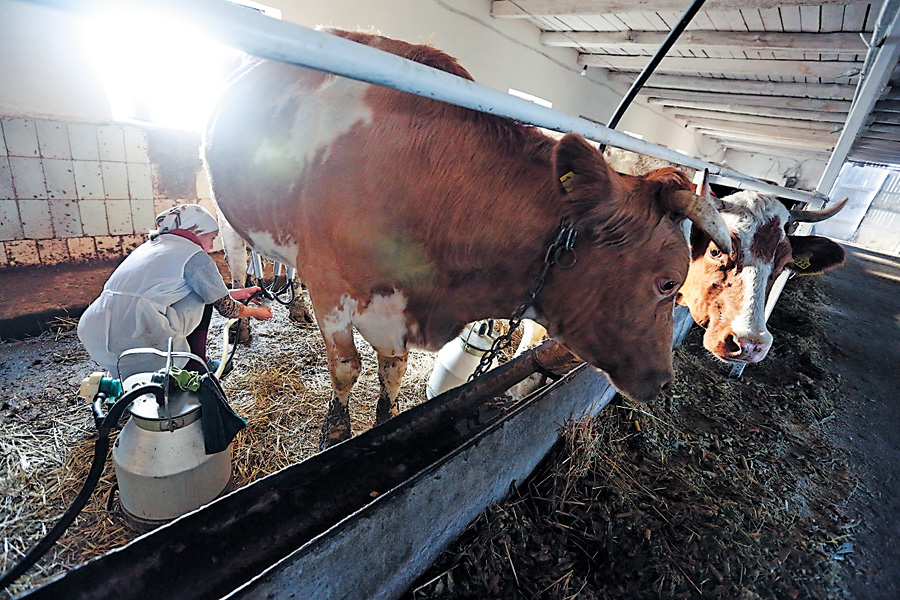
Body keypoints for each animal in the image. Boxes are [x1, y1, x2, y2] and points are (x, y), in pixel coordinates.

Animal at [204, 30, 732, 448]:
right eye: (668, 282)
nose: (664, 382)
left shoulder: (392, 311)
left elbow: (392, 370)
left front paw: (383, 420)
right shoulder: (333, 287)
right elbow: (346, 367)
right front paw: (336, 431)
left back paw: (292, 305)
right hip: (227, 209)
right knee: (240, 257)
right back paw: (243, 326)